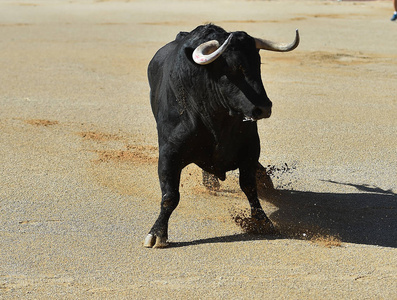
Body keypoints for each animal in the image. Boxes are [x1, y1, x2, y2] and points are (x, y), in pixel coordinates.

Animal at [144, 24, 298, 247]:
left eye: (258, 64)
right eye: (232, 68)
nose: (264, 108)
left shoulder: (251, 148)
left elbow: (249, 186)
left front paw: (263, 221)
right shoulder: (168, 153)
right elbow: (170, 195)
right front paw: (157, 233)